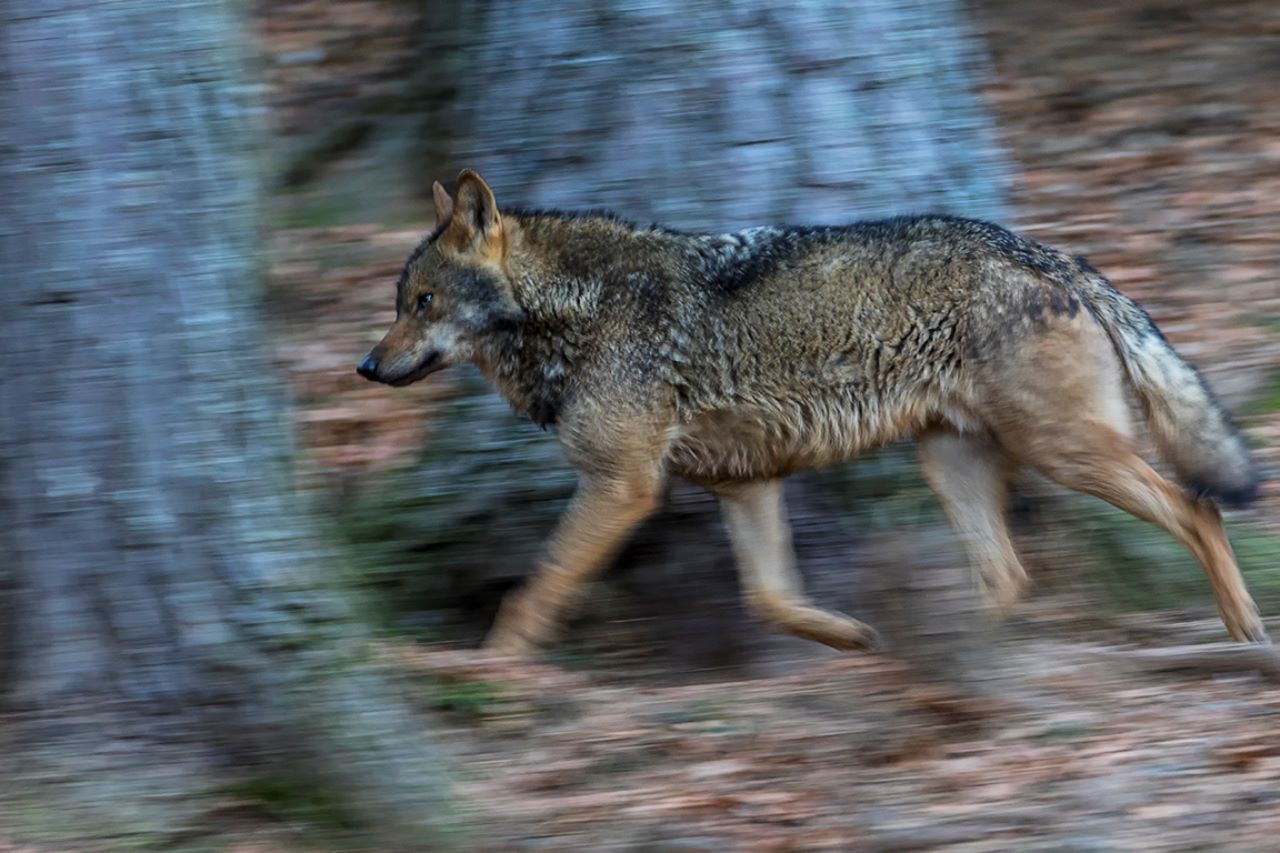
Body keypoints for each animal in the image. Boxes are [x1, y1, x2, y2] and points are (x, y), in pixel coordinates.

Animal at [357, 169, 1266, 655]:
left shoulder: (622, 487)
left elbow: (532, 591)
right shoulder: (745, 486)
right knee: (1007, 574)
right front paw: (856, 640)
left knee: (1196, 507)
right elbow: (771, 602)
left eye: (423, 302)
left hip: (1065, 452)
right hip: (955, 463)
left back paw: (1245, 629)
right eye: (398, 304)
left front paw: (494, 671)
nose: (367, 366)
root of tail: (1047, 251)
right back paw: (955, 661)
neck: (578, 310)